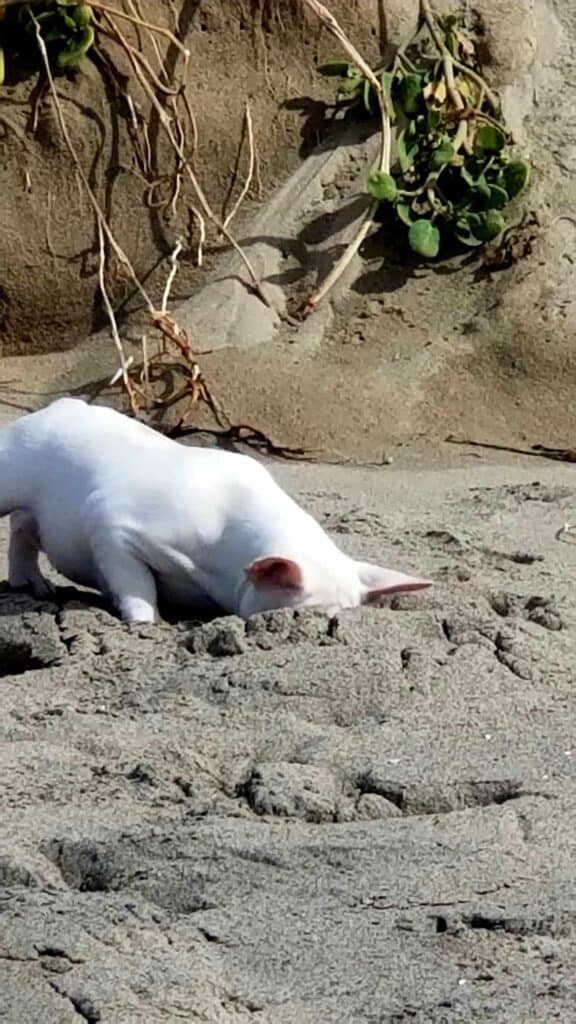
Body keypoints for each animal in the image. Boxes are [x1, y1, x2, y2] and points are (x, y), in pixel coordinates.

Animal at [0, 399, 430, 618]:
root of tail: (57, 405)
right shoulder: (112, 527)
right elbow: (135, 584)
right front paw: (146, 624)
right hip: (15, 464)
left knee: (23, 528)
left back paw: (33, 588)